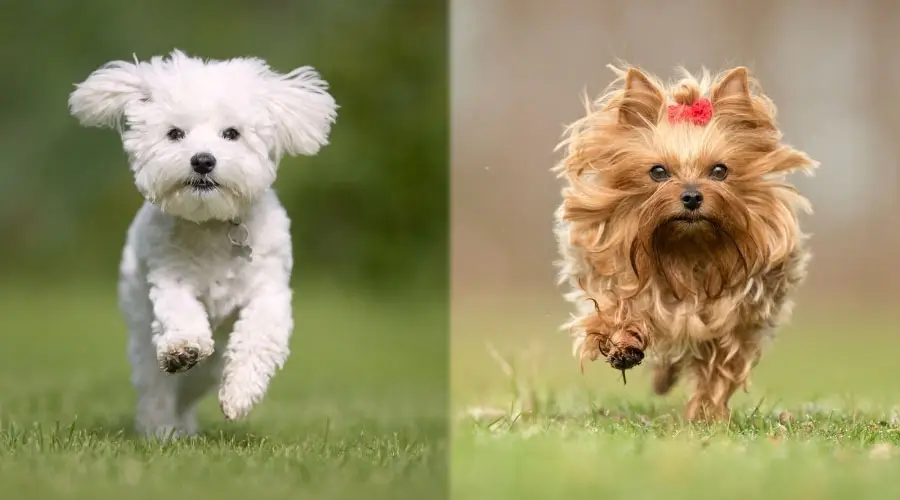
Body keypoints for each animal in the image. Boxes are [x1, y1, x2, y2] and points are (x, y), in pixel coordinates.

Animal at [67, 47, 338, 438]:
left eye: (232, 133)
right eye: (175, 133)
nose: (203, 160)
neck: (211, 224)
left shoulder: (269, 292)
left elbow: (258, 335)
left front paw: (239, 394)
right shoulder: (169, 279)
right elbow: (180, 313)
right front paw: (183, 348)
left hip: (210, 367)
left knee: (193, 386)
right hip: (142, 328)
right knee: (157, 386)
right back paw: (160, 431)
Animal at [552, 63, 820, 422]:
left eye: (719, 170)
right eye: (658, 172)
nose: (692, 196)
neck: (686, 249)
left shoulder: (735, 322)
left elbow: (719, 366)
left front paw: (706, 413)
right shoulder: (618, 278)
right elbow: (618, 307)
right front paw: (624, 343)